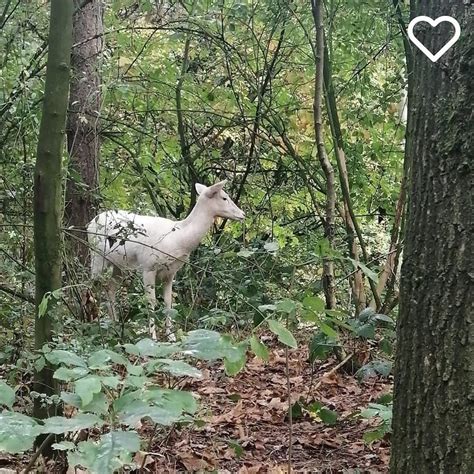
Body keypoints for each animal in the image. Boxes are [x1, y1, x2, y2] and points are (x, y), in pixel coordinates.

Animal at [86, 181, 246, 340]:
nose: (243, 214)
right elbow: (151, 301)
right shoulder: (148, 266)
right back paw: (94, 325)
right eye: (224, 197)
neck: (178, 239)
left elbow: (169, 302)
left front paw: (171, 336)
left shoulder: (171, 272)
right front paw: (153, 337)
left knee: (110, 288)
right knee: (92, 286)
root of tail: (90, 224)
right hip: (96, 255)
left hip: (119, 265)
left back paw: (115, 327)